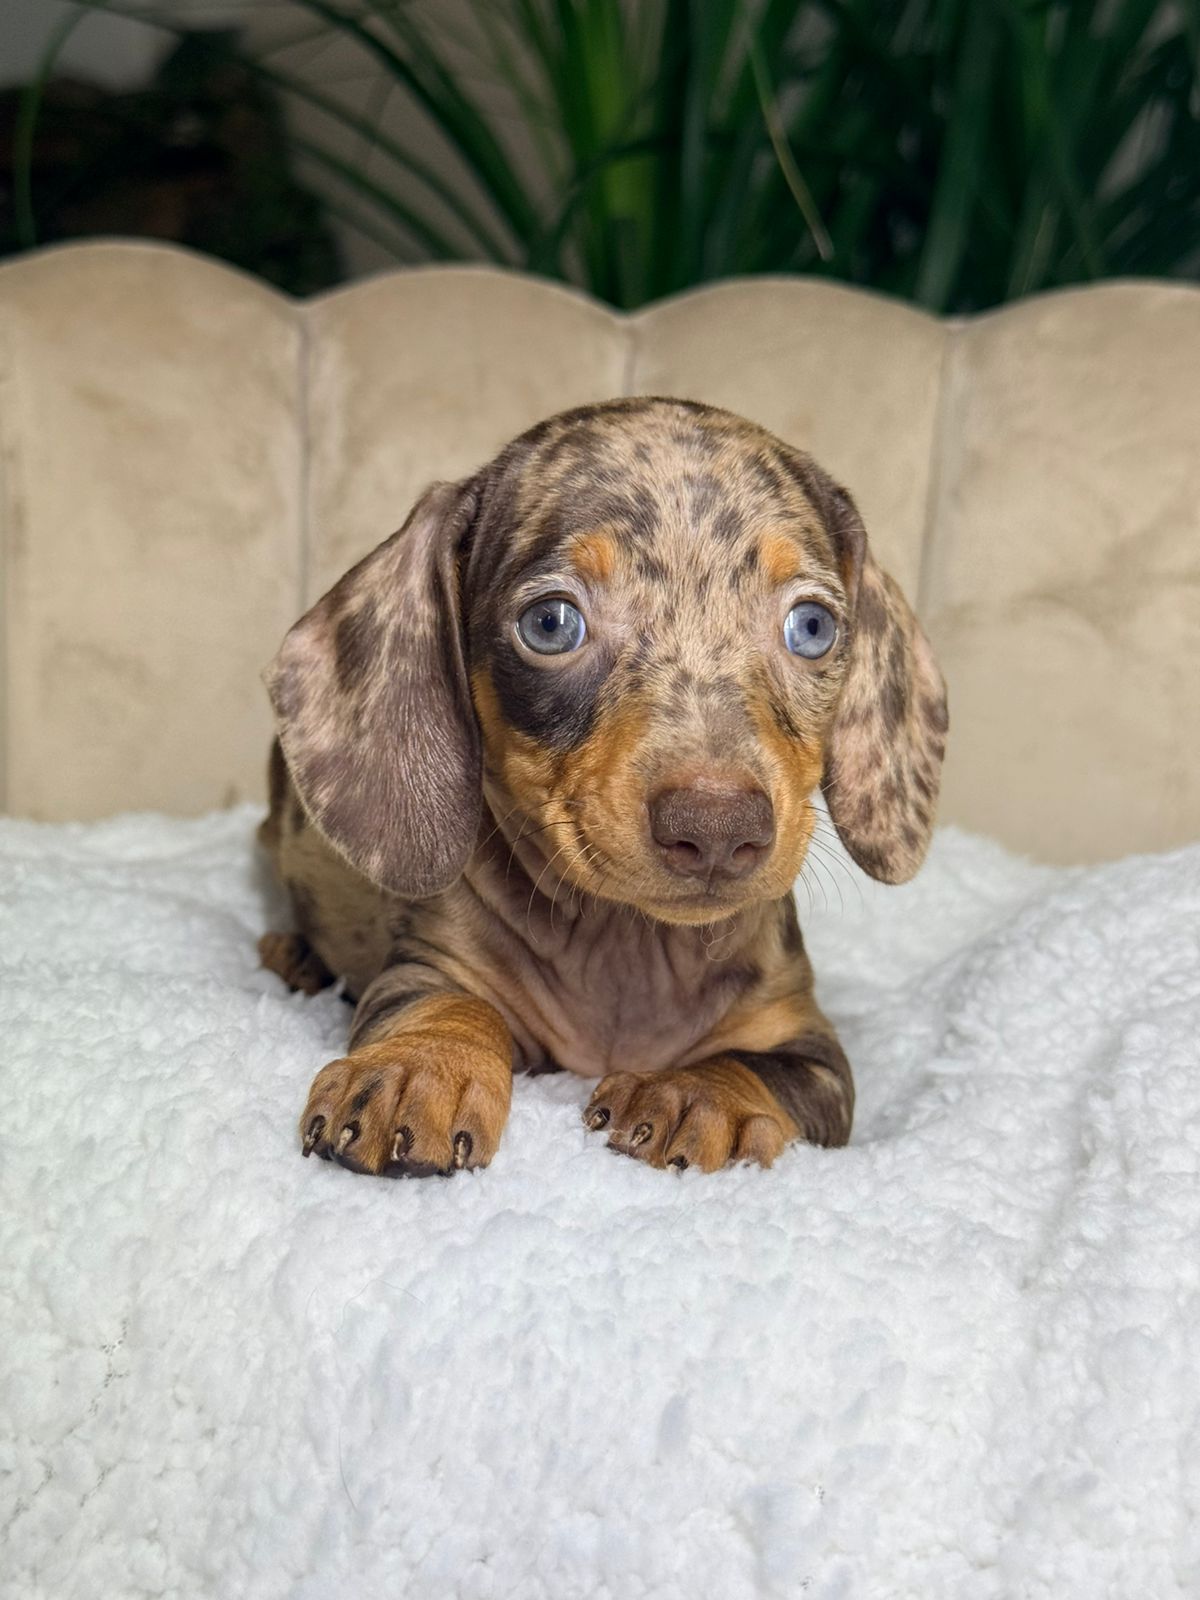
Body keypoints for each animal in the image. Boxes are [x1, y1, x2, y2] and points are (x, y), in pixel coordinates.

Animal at [257, 397, 947, 1176]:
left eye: (812, 625)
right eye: (551, 623)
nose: (717, 828)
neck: (630, 944)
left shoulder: (812, 1047)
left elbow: (760, 1067)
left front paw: (696, 1094)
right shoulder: (424, 967)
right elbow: (446, 1005)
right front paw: (419, 1067)